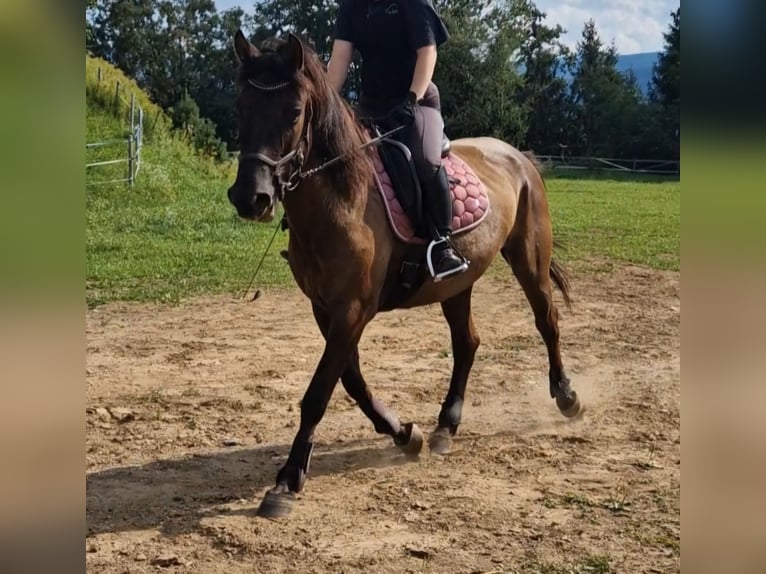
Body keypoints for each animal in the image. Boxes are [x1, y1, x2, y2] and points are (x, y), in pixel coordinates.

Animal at [226, 29, 584, 520]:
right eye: (240, 106)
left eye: (294, 112)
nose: (251, 197)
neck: (345, 198)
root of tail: (517, 155)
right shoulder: (326, 309)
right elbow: (351, 381)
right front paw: (404, 434)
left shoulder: (353, 310)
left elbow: (319, 392)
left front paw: (287, 480)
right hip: (458, 283)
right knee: (467, 343)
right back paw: (445, 427)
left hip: (529, 261)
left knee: (547, 322)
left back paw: (567, 396)